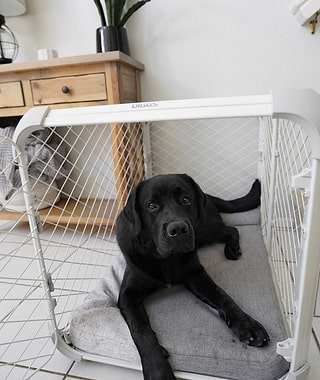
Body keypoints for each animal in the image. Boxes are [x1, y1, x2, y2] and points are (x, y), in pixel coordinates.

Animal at [116, 175, 268, 380]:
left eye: (186, 200)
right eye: (152, 206)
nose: (178, 229)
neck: (165, 260)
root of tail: (208, 195)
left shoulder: (196, 274)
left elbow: (223, 297)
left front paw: (247, 325)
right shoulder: (128, 296)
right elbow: (141, 330)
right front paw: (158, 369)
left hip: (202, 228)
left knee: (231, 229)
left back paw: (232, 248)